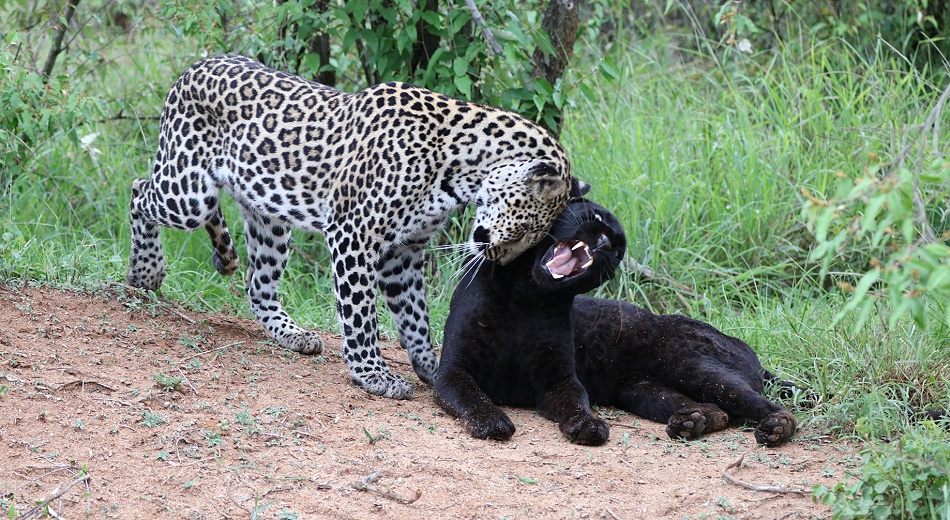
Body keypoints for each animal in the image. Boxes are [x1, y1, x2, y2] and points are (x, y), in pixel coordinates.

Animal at [126, 55, 576, 399]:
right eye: (524, 230)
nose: (497, 258)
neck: (459, 169)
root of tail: (195, 65)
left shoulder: (403, 252)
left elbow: (415, 316)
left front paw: (432, 367)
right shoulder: (354, 233)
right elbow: (361, 313)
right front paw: (372, 374)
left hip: (268, 216)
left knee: (258, 285)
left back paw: (293, 334)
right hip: (188, 193)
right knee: (138, 190)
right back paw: (145, 272)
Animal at [435, 194, 798, 447]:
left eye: (619, 247)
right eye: (596, 217)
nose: (607, 241)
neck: (526, 297)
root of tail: (747, 350)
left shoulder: (558, 378)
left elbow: (576, 401)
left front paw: (588, 426)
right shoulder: (453, 369)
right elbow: (472, 396)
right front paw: (491, 422)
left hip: (693, 366)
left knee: (763, 405)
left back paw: (775, 428)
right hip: (646, 391)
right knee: (713, 409)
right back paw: (689, 423)